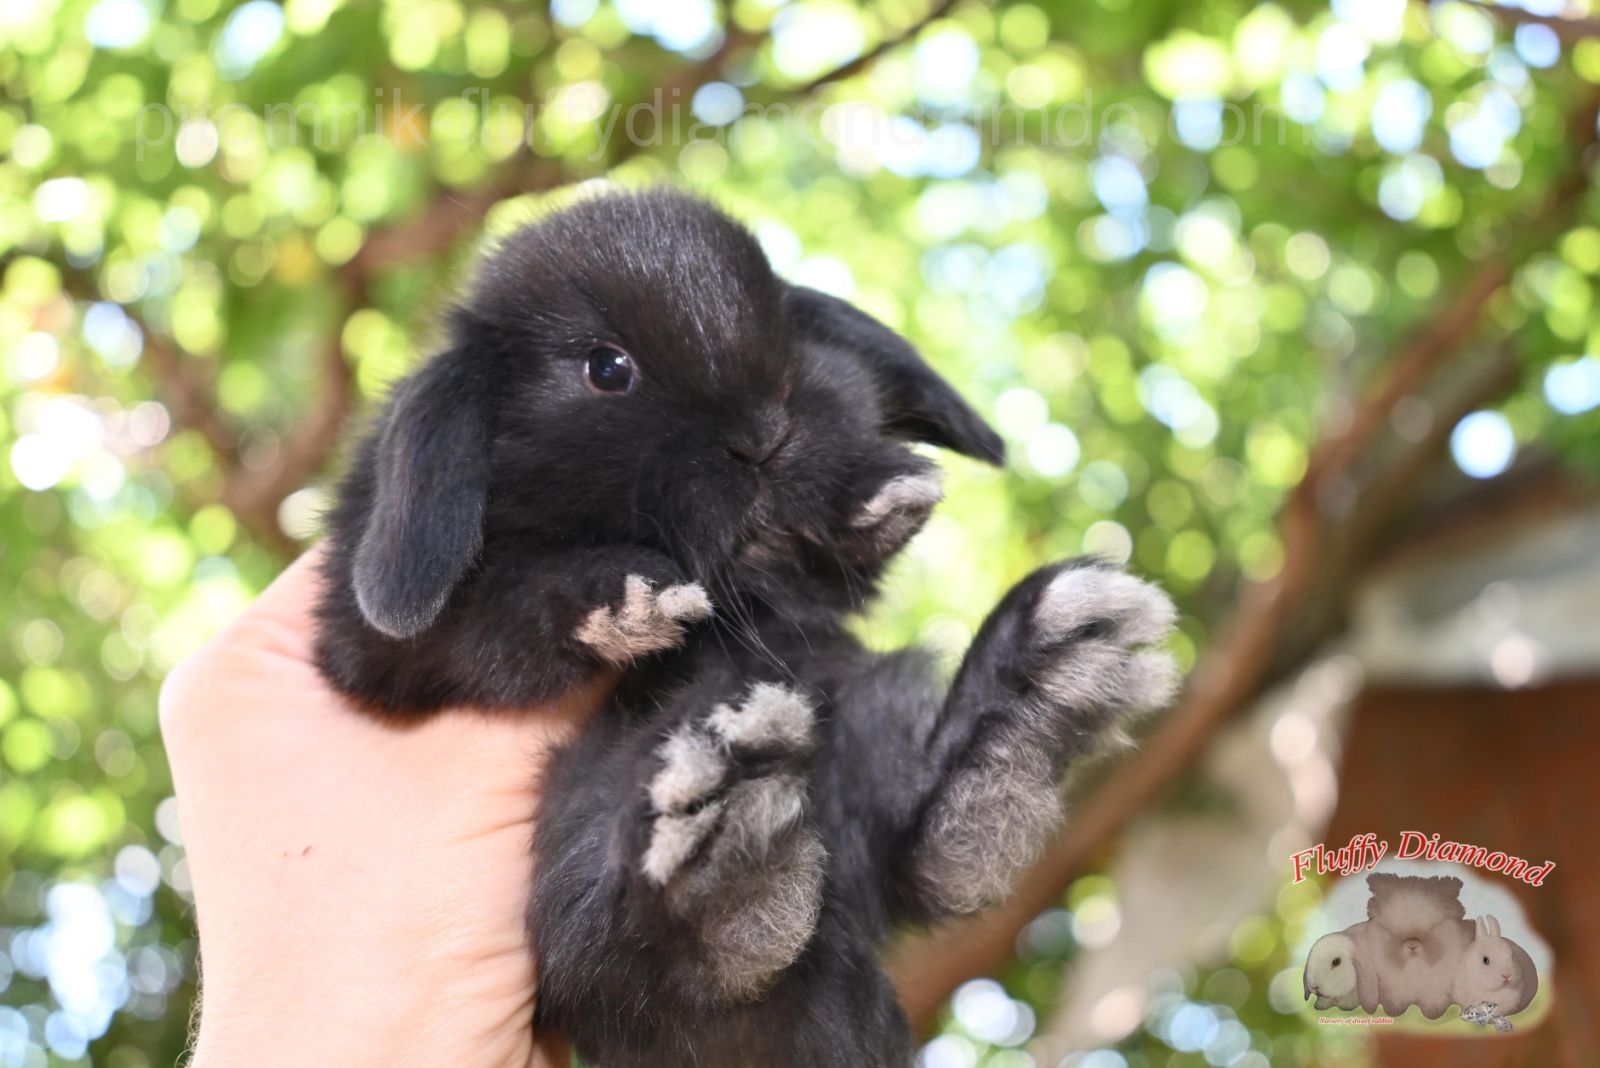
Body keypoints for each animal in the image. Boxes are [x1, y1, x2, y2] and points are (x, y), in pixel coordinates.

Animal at [318, 189, 1184, 1068]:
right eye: (607, 368)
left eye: (783, 335)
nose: (765, 434)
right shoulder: (367, 645)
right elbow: (490, 612)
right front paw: (628, 598)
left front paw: (881, 496)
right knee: (631, 957)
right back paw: (723, 848)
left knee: (916, 851)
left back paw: (1027, 701)